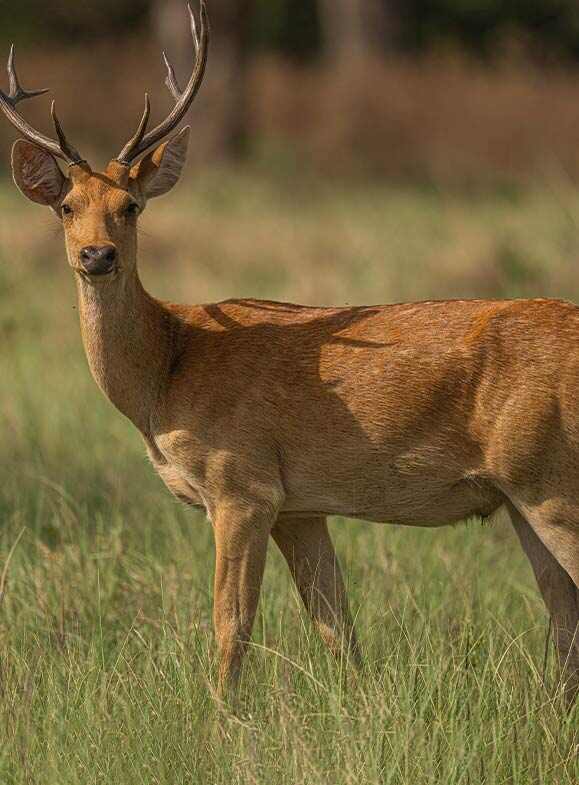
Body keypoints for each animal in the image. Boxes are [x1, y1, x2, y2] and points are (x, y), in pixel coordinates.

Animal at [0, 1, 576, 704]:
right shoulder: (301, 507)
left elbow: (232, 621)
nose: (97, 255)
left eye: (130, 205)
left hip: (552, 482)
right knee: (563, 616)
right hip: (523, 496)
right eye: (65, 206)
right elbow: (336, 626)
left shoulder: (242, 483)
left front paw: (220, 716)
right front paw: (356, 706)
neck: (171, 366)